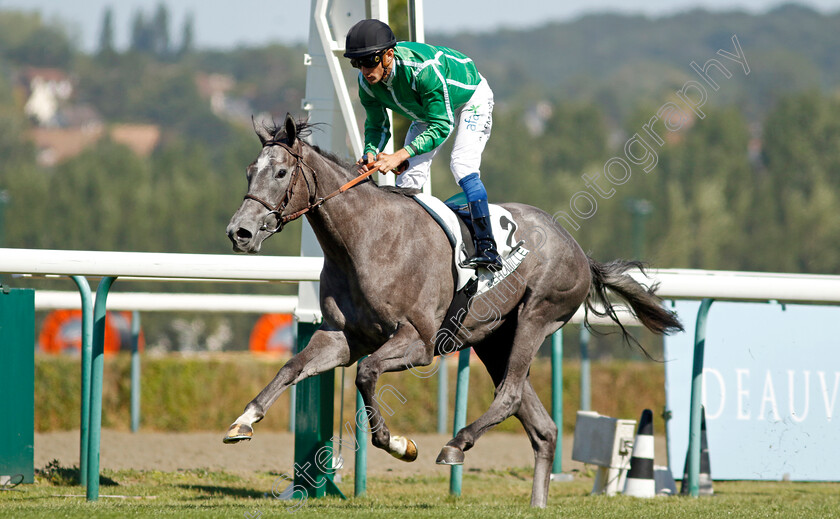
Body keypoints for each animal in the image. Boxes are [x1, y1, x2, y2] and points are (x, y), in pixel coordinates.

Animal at [223, 115, 684, 508]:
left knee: (510, 395)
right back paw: (536, 502)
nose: (239, 232)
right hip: (494, 340)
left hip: (536, 317)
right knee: (542, 425)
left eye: (281, 173)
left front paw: (399, 444)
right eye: (248, 171)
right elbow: (292, 367)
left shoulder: (419, 342)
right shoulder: (342, 337)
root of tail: (577, 249)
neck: (365, 240)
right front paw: (244, 419)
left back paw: (456, 443)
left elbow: (367, 374)